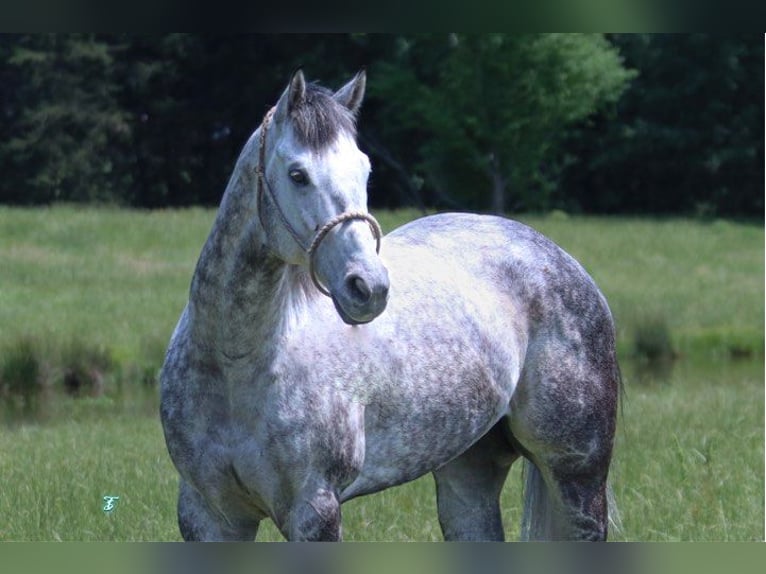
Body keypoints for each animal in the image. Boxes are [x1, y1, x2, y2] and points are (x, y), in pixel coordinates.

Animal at [160, 70, 624, 544]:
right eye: (298, 174)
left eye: (365, 171)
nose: (369, 287)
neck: (235, 363)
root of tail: (557, 258)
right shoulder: (209, 515)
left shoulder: (315, 511)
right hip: (469, 473)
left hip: (577, 474)